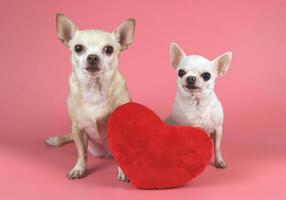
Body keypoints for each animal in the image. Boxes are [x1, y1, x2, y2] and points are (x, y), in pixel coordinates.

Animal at [45, 12, 135, 181]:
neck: (95, 88)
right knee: (70, 138)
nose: (93, 57)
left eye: (108, 49)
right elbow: (81, 153)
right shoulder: (77, 128)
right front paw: (79, 168)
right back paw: (55, 140)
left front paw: (124, 171)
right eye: (78, 48)